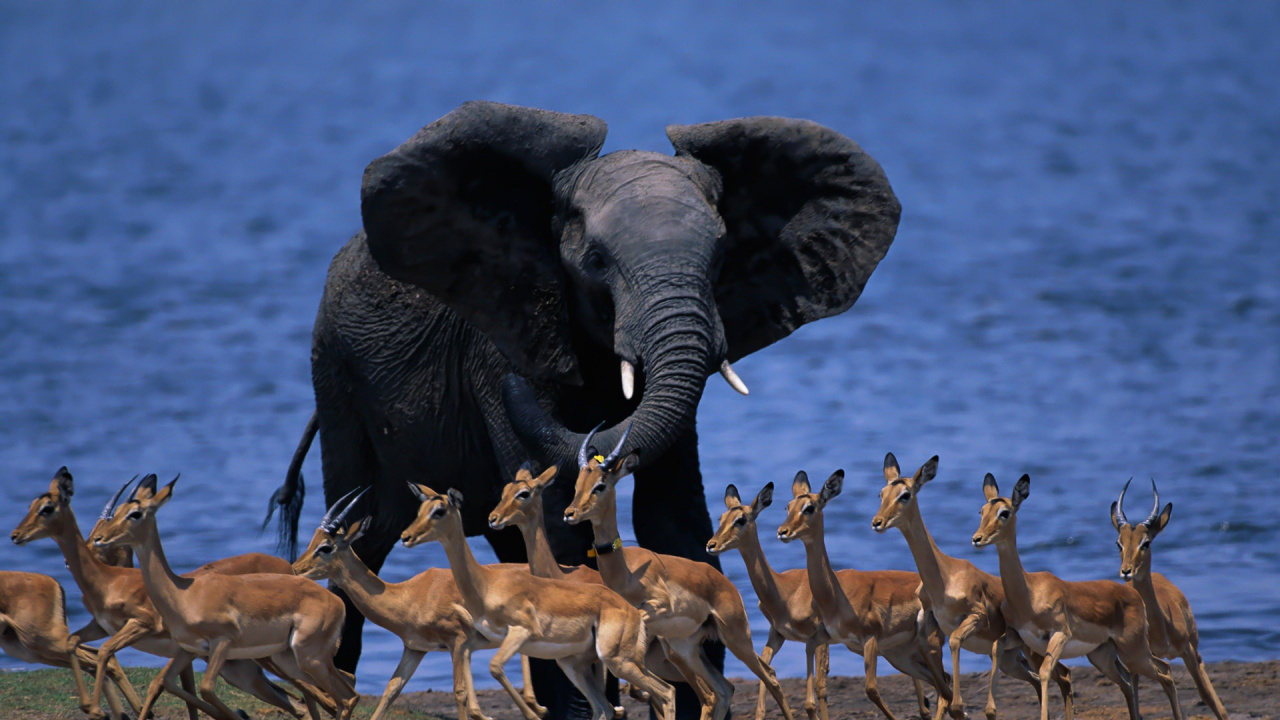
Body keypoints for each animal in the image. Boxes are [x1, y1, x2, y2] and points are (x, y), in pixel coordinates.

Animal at [264, 100, 899, 719]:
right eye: (595, 260)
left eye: (722, 256)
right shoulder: (500, 337)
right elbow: (556, 519)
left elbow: (675, 518)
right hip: (336, 376)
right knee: (366, 527)